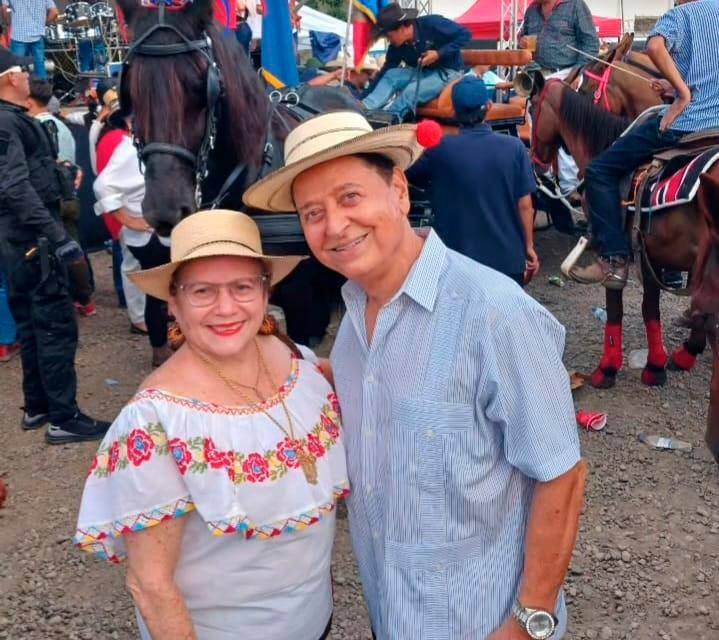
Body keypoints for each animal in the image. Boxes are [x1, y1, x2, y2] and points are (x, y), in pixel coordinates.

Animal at [528, 80, 716, 390]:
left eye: (532, 109)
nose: (535, 162)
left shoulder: (617, 250)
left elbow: (616, 306)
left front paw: (607, 369)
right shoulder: (653, 255)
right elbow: (651, 309)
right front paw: (660, 363)